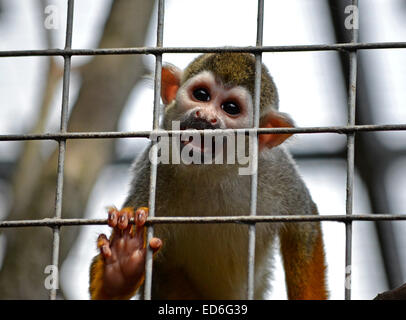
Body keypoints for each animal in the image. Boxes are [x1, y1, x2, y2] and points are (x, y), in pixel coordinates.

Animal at [88, 52, 326, 300]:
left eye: (230, 108)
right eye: (201, 95)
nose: (205, 116)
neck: (213, 170)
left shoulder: (275, 169)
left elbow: (303, 223)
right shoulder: (155, 167)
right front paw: (120, 268)